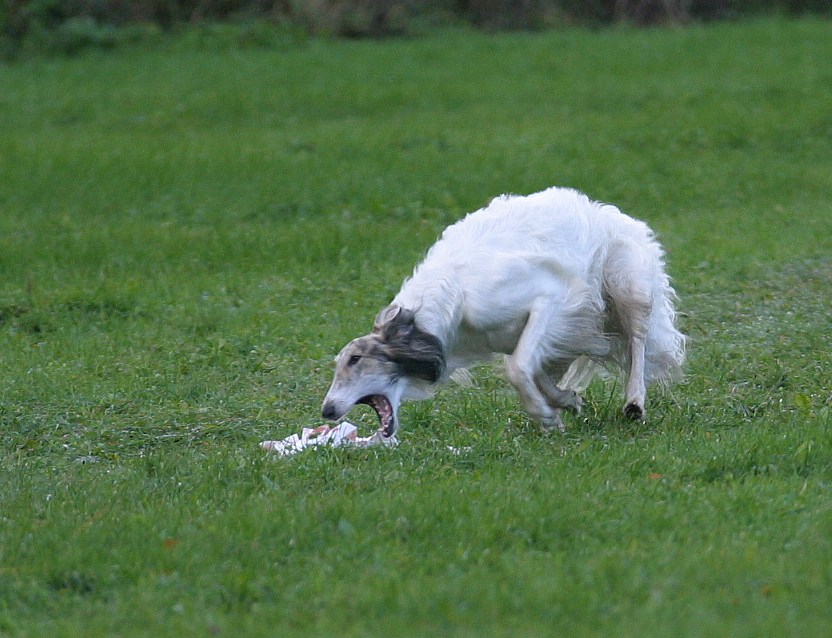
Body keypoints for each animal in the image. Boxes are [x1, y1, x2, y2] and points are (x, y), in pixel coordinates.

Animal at [322, 186, 685, 437]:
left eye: (355, 360)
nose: (326, 410)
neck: (452, 299)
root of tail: (608, 211)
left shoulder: (553, 300)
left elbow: (518, 368)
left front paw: (545, 416)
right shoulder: (519, 336)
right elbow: (533, 371)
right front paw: (563, 402)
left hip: (627, 286)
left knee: (637, 343)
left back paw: (634, 402)